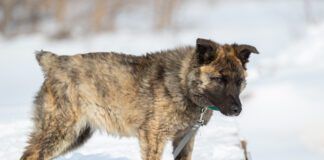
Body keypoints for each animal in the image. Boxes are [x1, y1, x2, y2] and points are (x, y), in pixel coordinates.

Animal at [20, 38, 258, 159]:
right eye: (218, 79)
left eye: (239, 81)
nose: (237, 110)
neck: (182, 84)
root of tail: (54, 62)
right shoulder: (153, 137)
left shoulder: (184, 138)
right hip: (61, 132)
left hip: (76, 135)